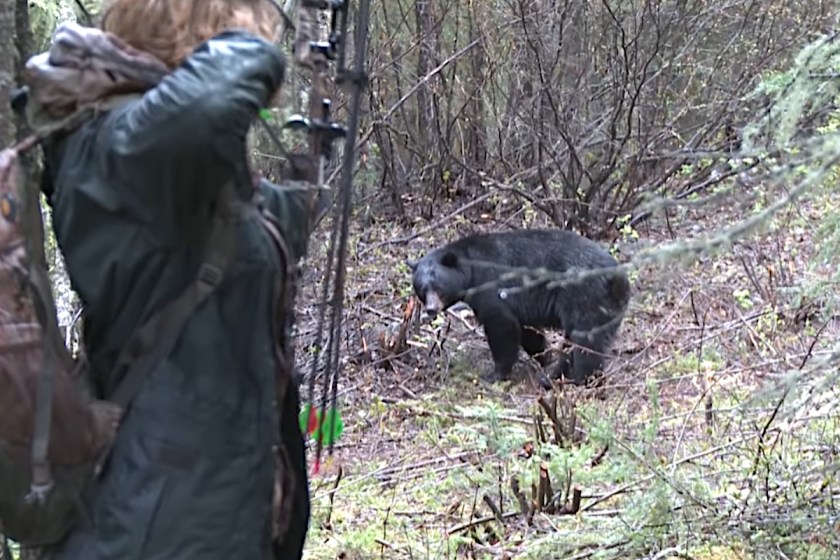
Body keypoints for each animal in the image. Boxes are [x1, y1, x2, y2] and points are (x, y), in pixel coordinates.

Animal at [406, 228, 630, 387]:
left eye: (438, 286)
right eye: (422, 289)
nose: (431, 309)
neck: (471, 271)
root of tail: (618, 276)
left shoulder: (493, 287)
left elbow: (501, 327)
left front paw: (495, 373)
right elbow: (527, 331)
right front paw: (543, 356)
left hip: (584, 296)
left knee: (586, 341)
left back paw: (583, 379)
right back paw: (553, 376)